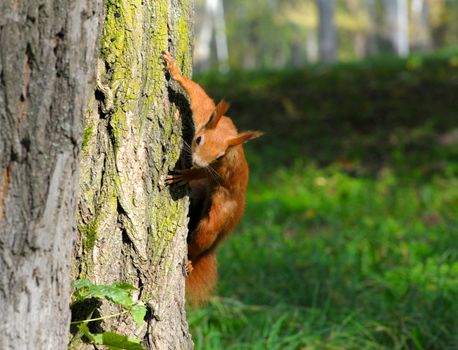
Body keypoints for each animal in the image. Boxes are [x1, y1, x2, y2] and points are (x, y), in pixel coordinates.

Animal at [162, 50, 262, 304]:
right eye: (198, 139)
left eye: (219, 155)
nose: (197, 162)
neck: (228, 135)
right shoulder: (206, 113)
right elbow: (197, 93)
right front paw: (174, 70)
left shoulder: (221, 167)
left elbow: (204, 172)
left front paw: (185, 174)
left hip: (219, 214)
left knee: (203, 238)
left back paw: (190, 259)